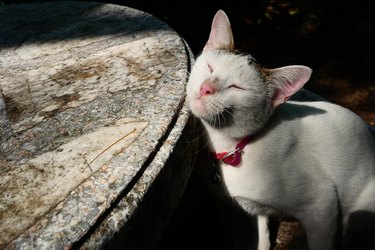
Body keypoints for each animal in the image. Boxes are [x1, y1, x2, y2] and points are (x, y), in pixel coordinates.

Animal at [187, 9, 375, 250]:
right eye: (210, 67)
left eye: (236, 87)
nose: (206, 88)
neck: (234, 147)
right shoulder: (255, 209)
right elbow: (263, 235)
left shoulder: (322, 206)